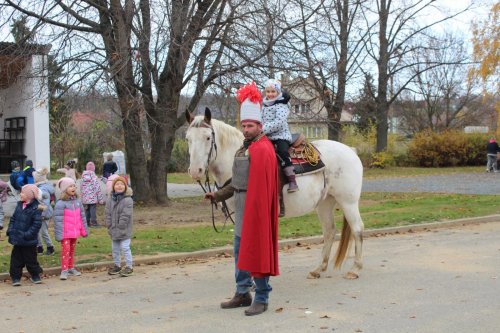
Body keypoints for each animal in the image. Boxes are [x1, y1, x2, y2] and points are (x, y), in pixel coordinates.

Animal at [186, 108, 366, 278]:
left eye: (208, 138)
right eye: (188, 138)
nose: (195, 171)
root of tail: (351, 150)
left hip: (348, 202)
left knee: (357, 229)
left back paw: (355, 269)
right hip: (324, 203)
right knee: (329, 231)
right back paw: (318, 269)